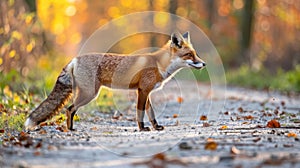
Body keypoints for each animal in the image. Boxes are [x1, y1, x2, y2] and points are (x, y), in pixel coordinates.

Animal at [24, 31, 205, 131]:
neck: (159, 64)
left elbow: (151, 113)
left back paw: (71, 128)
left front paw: (156, 127)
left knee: (70, 110)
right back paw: (70, 129)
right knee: (69, 109)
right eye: (189, 55)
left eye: (195, 54)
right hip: (89, 94)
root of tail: (75, 59)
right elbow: (140, 113)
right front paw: (142, 129)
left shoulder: (146, 92)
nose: (204, 64)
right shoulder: (142, 91)